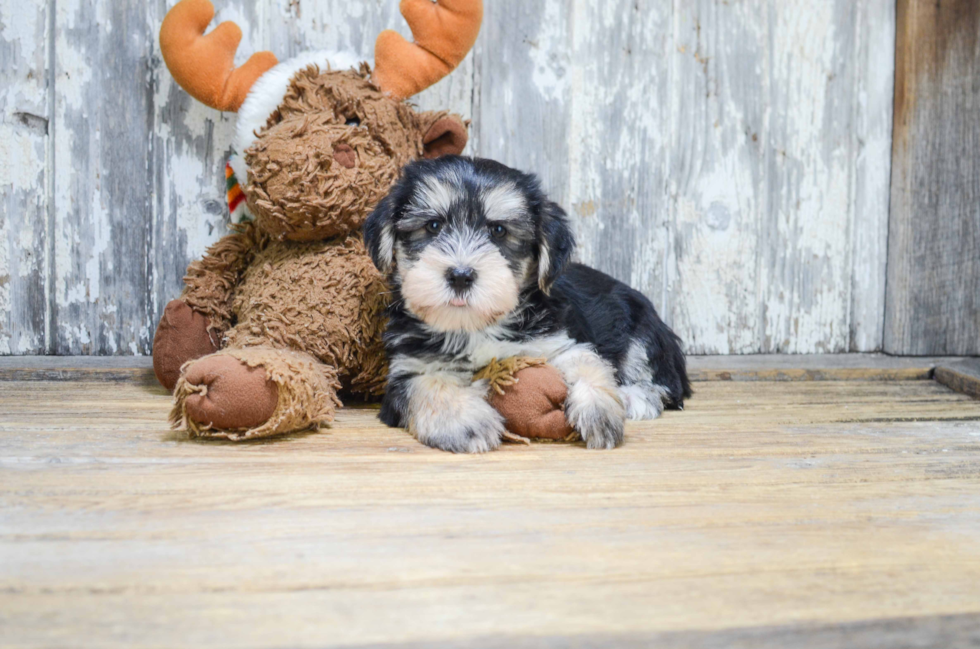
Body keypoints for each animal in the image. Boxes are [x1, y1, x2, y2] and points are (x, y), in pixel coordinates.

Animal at [360, 156, 688, 450]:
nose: (461, 276)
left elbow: (586, 360)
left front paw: (599, 409)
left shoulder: (555, 342)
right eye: (433, 226)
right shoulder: (406, 370)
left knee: (665, 383)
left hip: (643, 331)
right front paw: (465, 421)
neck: (476, 326)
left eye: (498, 231)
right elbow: (428, 385)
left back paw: (634, 397)